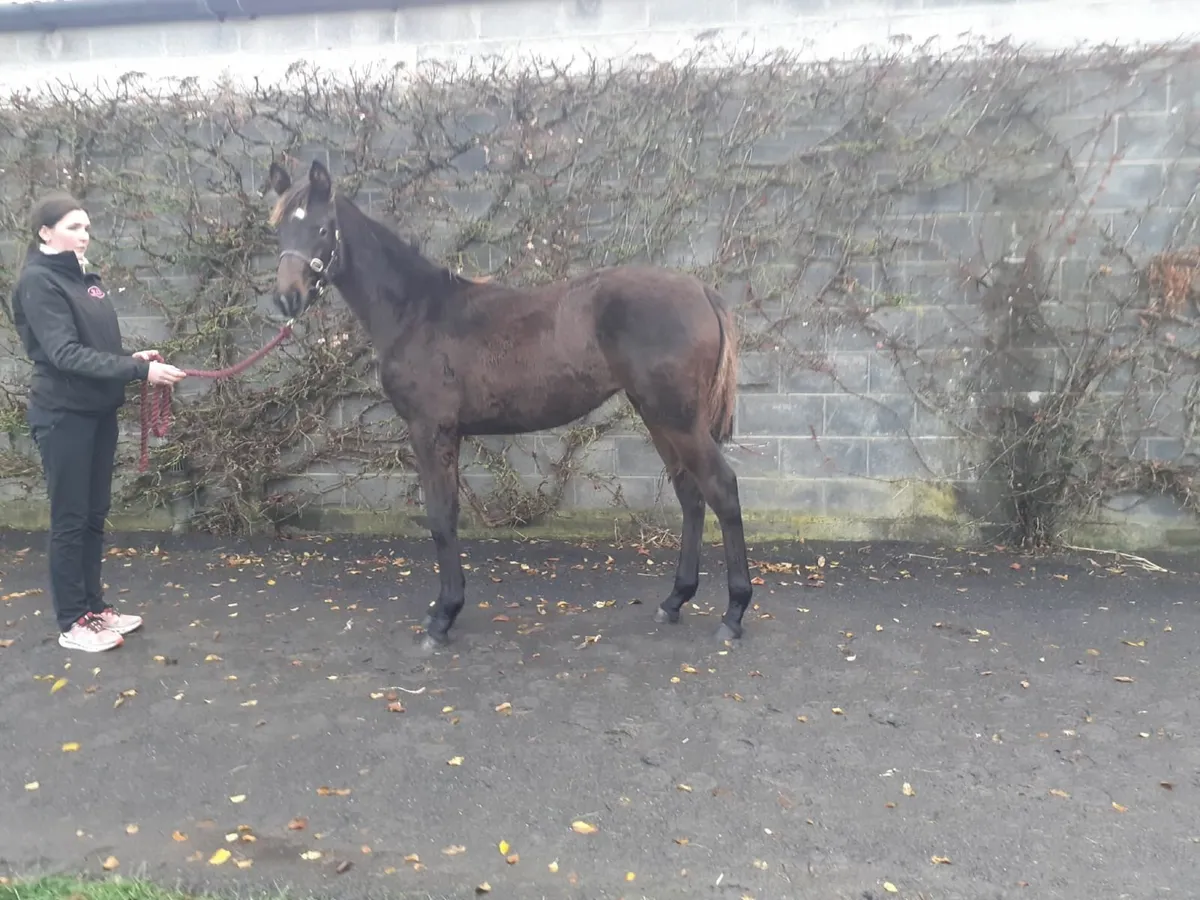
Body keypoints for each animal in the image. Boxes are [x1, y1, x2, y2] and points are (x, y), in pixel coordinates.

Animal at [265, 158, 754, 651]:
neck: (418, 311)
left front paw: (443, 617)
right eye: (279, 230)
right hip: (658, 416)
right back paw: (675, 600)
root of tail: (703, 292)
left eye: (322, 228)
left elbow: (441, 517)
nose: (287, 297)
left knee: (722, 488)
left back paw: (733, 614)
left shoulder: (431, 429)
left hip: (678, 420)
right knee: (691, 494)